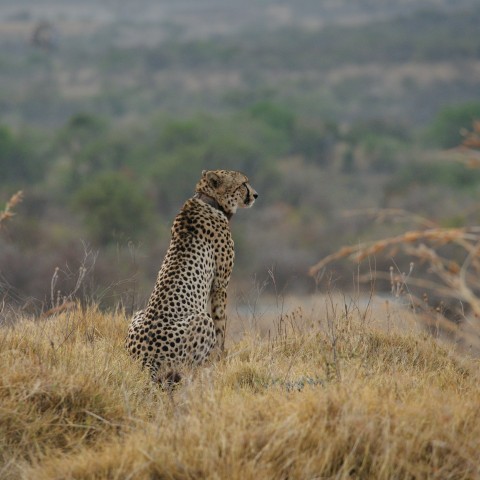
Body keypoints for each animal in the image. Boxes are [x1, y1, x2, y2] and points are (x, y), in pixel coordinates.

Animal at [125, 169, 256, 382]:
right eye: (243, 183)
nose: (255, 195)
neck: (209, 200)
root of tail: (145, 359)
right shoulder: (220, 285)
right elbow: (221, 325)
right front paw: (220, 359)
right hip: (201, 320)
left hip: (137, 314)